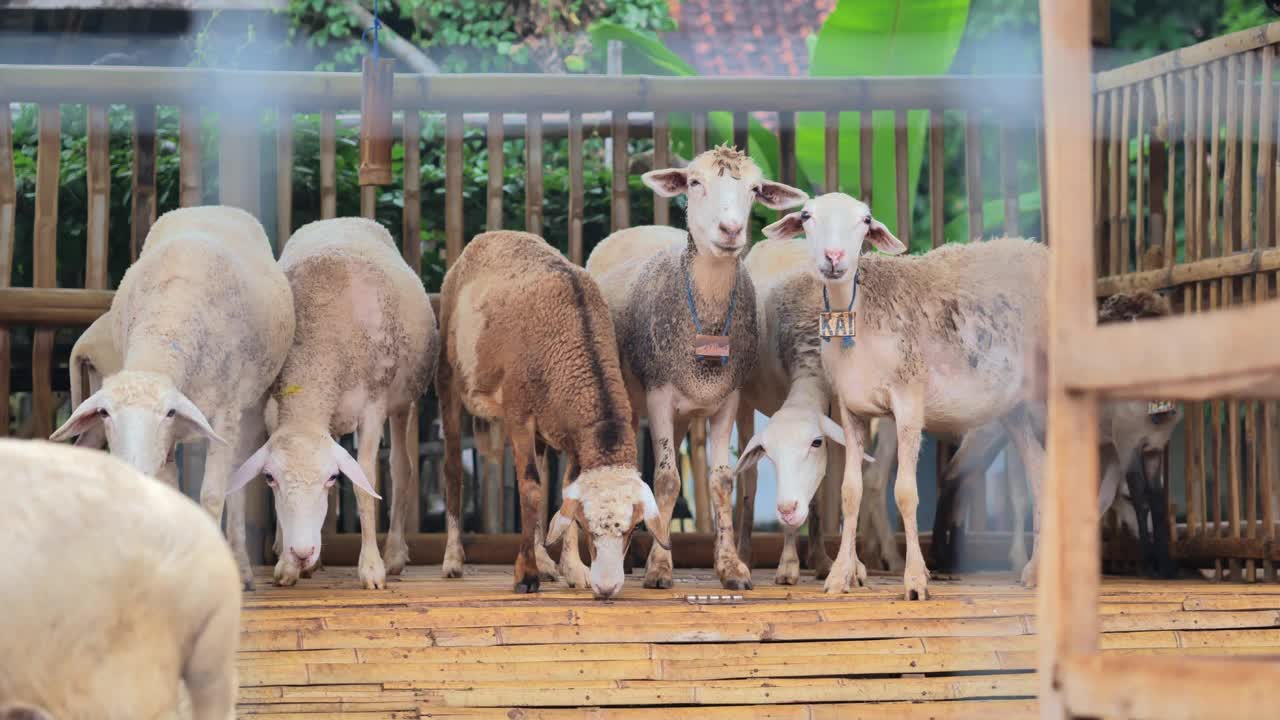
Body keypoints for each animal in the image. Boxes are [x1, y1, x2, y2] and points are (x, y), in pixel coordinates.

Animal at [225, 217, 435, 589]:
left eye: (330, 478)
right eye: (270, 479)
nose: (302, 551)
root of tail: (342, 219)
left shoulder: (372, 407)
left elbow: (365, 483)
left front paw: (372, 568)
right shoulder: (275, 409)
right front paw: (288, 565)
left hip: (401, 402)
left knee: (402, 468)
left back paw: (394, 554)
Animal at [435, 229, 665, 594]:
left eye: (632, 529)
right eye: (590, 530)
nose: (608, 588)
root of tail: (489, 236)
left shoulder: (575, 433)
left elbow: (564, 491)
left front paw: (572, 569)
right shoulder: (518, 413)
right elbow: (530, 488)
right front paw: (525, 575)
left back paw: (545, 562)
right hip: (448, 376)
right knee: (454, 466)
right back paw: (454, 559)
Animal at [757, 192, 1049, 599]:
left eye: (865, 220)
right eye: (806, 216)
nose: (834, 257)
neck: (858, 314)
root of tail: (1040, 250)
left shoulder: (909, 402)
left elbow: (906, 493)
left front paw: (915, 581)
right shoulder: (851, 409)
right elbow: (850, 492)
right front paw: (840, 576)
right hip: (1015, 407)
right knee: (1039, 474)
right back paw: (1035, 570)